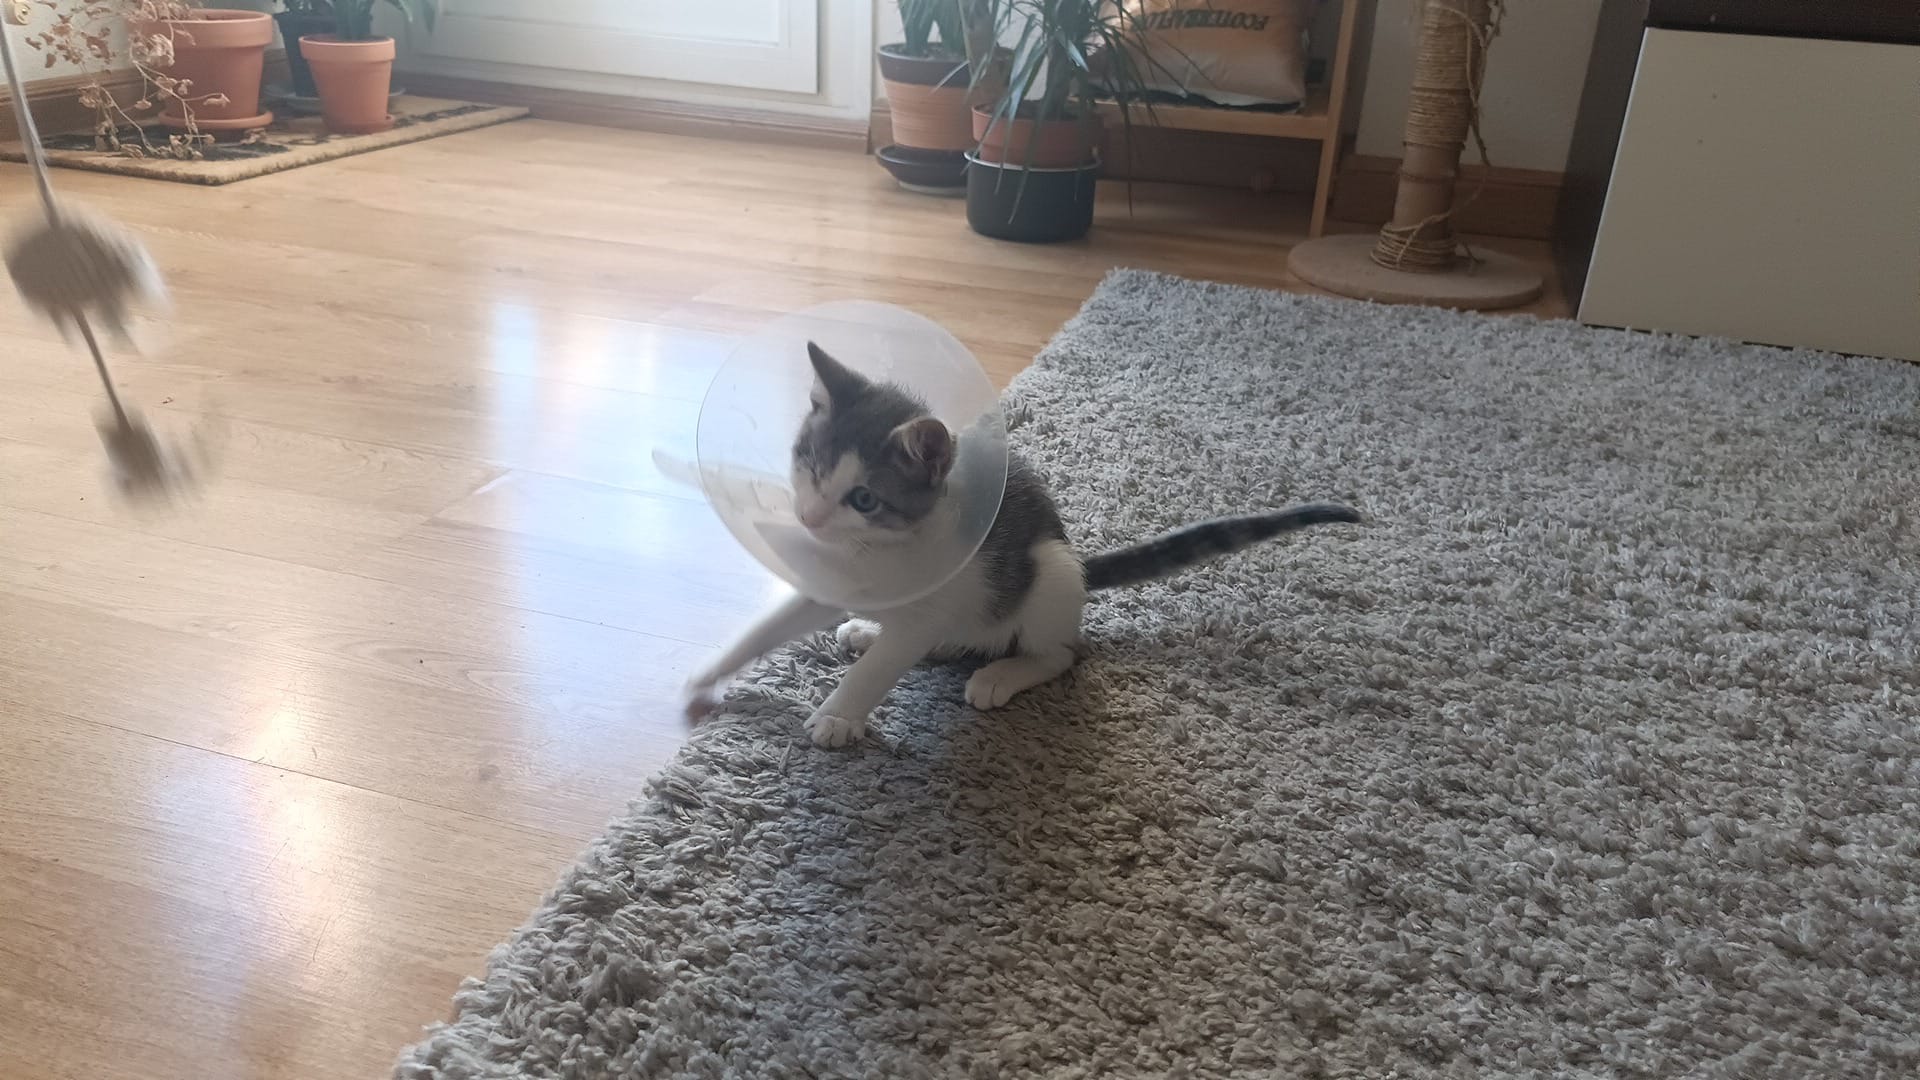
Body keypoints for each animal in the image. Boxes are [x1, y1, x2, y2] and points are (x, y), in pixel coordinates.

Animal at [682, 341, 1363, 747]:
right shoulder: (827, 578)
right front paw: (712, 671)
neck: (873, 554)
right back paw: (869, 629)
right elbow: (768, 628)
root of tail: (1075, 556)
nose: (810, 515)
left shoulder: (927, 602)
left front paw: (838, 714)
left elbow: (880, 669)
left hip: (1049, 573)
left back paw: (1002, 672)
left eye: (865, 498)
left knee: (1060, 652)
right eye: (811, 465)